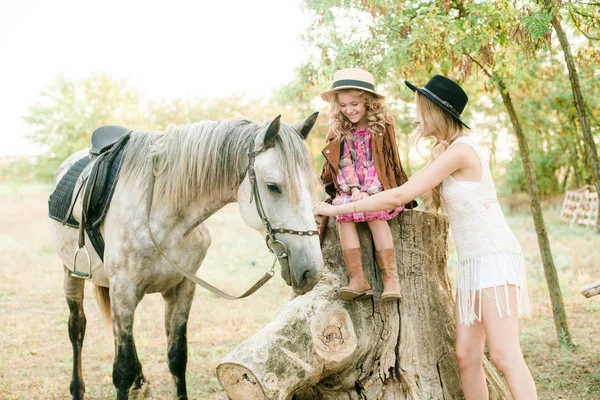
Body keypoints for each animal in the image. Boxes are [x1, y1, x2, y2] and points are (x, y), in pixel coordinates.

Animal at [49, 114, 326, 398]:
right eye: (273, 187)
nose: (311, 270)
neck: (160, 210)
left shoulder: (182, 288)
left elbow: (177, 357)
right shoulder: (123, 291)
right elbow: (122, 369)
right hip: (72, 274)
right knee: (77, 328)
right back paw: (78, 388)